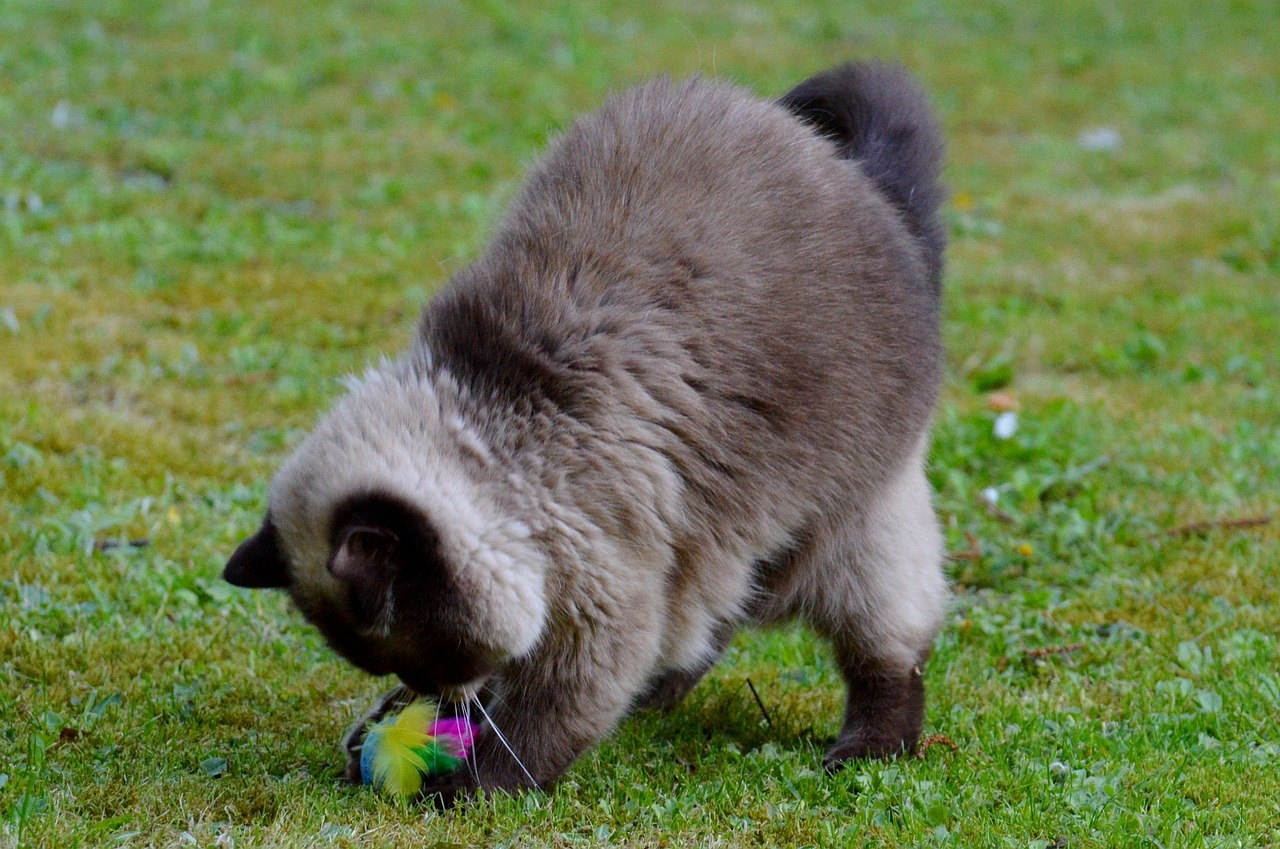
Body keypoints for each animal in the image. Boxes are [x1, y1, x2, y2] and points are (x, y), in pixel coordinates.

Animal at [222, 61, 952, 804]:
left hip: (855, 525)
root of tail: (860, 179)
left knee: (890, 653)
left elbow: (535, 731)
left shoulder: (602, 607)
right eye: (407, 667)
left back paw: (863, 753)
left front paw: (456, 788)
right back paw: (657, 696)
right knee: (716, 614)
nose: (439, 693)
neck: (500, 427)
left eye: (430, 654)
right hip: (725, 543)